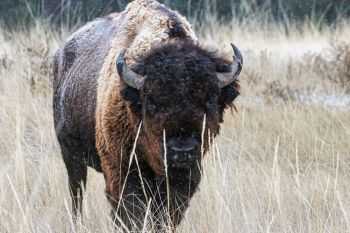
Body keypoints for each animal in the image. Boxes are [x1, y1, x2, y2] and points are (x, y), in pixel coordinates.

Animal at [52, 0, 243, 229]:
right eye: (150, 101)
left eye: (211, 99)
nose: (182, 150)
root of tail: (61, 54)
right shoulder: (123, 172)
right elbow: (131, 213)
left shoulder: (183, 179)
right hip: (71, 154)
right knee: (77, 193)